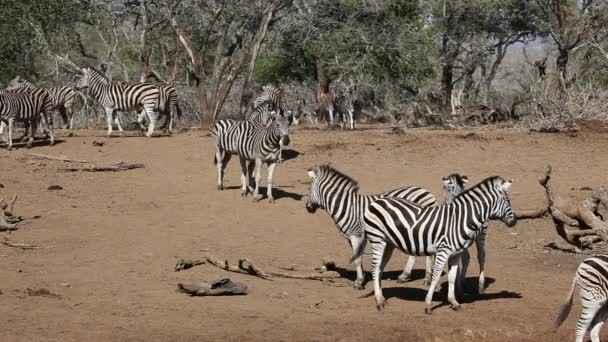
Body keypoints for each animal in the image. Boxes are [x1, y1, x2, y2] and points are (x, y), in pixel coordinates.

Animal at [304, 164, 436, 290]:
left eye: (309, 189)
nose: (308, 208)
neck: (347, 206)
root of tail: (427, 192)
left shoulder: (357, 235)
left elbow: (357, 259)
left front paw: (358, 282)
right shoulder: (351, 237)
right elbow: (357, 256)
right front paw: (362, 277)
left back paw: (426, 279)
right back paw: (405, 276)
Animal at [356, 176, 516, 312]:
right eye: (508, 202)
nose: (515, 221)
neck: (460, 220)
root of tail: (376, 202)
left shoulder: (455, 253)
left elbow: (451, 277)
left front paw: (454, 302)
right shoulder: (443, 251)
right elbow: (437, 275)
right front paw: (428, 304)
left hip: (388, 243)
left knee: (380, 268)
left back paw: (382, 297)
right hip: (378, 239)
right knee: (375, 267)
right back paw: (379, 301)